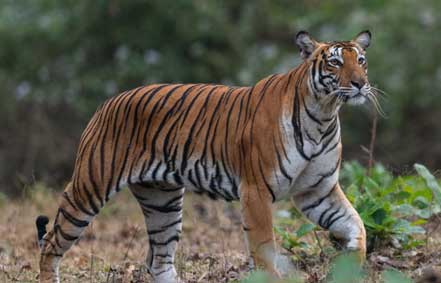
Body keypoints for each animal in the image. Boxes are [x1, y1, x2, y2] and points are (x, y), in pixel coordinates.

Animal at [36, 30, 374, 282]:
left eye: (361, 60)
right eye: (334, 63)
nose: (360, 84)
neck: (324, 114)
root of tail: (108, 102)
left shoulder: (317, 191)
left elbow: (356, 224)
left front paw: (351, 265)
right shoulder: (256, 191)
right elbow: (265, 249)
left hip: (163, 202)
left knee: (158, 260)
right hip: (90, 187)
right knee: (52, 242)